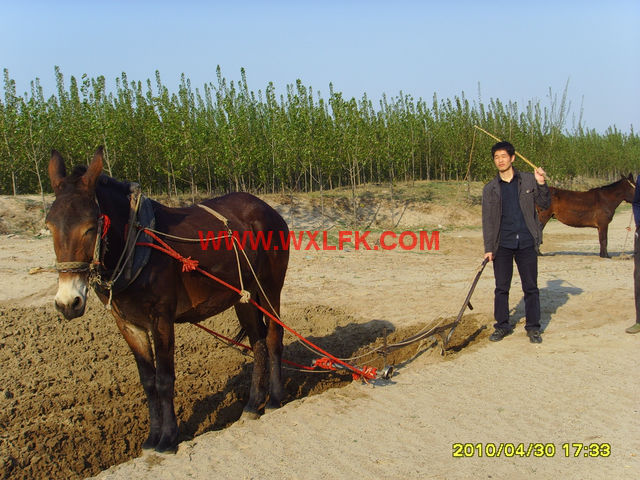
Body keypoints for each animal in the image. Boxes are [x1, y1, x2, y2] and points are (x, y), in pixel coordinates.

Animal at [47, 147, 290, 454]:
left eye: (90, 227)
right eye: (49, 226)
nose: (68, 302)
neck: (136, 245)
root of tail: (268, 209)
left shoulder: (161, 318)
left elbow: (164, 379)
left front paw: (168, 439)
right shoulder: (127, 323)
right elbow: (148, 381)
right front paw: (152, 438)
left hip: (269, 288)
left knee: (273, 337)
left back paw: (275, 400)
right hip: (244, 297)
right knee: (257, 342)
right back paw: (251, 405)